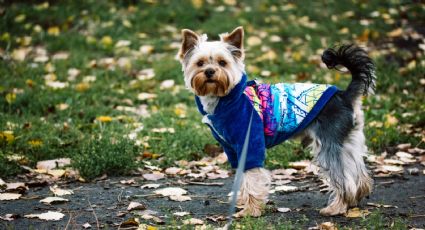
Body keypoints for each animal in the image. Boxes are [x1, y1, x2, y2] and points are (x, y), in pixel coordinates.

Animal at [177, 26, 372, 217]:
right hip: (348, 140)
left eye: (222, 63)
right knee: (358, 171)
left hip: (328, 142)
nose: (210, 71)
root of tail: (344, 95)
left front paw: (250, 210)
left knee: (344, 177)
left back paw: (337, 207)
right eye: (200, 63)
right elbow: (241, 177)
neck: (224, 97)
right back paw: (356, 198)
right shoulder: (232, 148)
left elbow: (251, 177)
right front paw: (241, 202)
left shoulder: (249, 141)